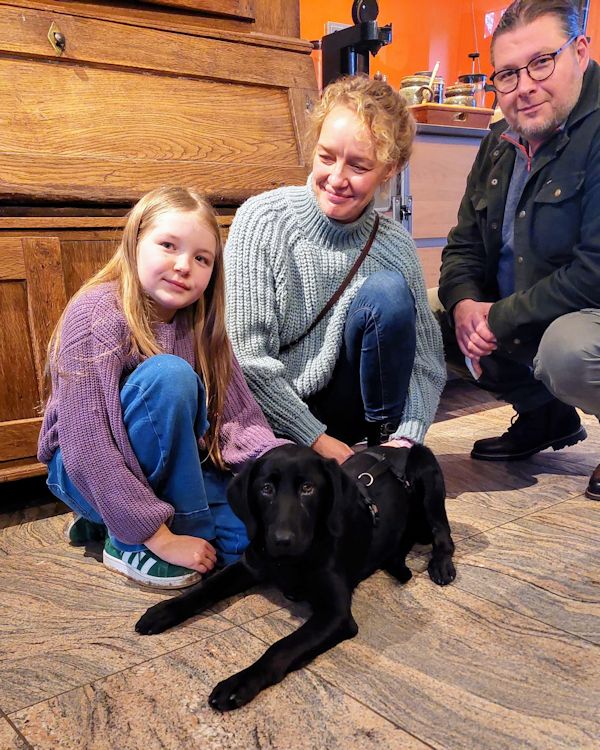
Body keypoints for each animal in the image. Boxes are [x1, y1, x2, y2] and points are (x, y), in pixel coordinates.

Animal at [135, 443, 455, 710]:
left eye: (308, 488)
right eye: (265, 489)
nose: (282, 540)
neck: (288, 562)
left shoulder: (335, 614)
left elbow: (282, 646)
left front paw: (240, 682)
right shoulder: (249, 565)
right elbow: (207, 587)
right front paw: (163, 611)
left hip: (425, 468)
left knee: (443, 532)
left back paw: (441, 565)